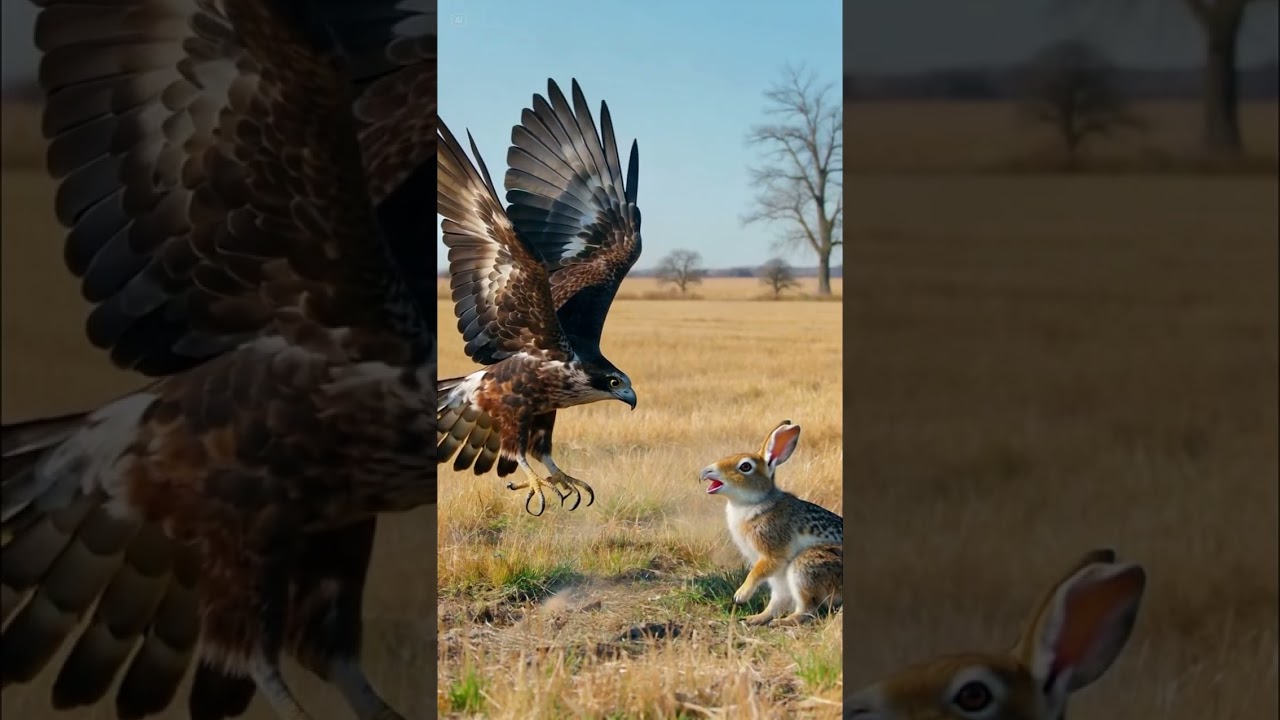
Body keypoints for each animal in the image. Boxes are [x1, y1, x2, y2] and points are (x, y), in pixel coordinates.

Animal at [699, 420, 843, 626]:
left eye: (745, 466)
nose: (706, 472)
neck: (755, 503)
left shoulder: (772, 554)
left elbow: (757, 572)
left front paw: (740, 595)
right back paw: (755, 618)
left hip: (804, 567)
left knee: (807, 609)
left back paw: (781, 622)